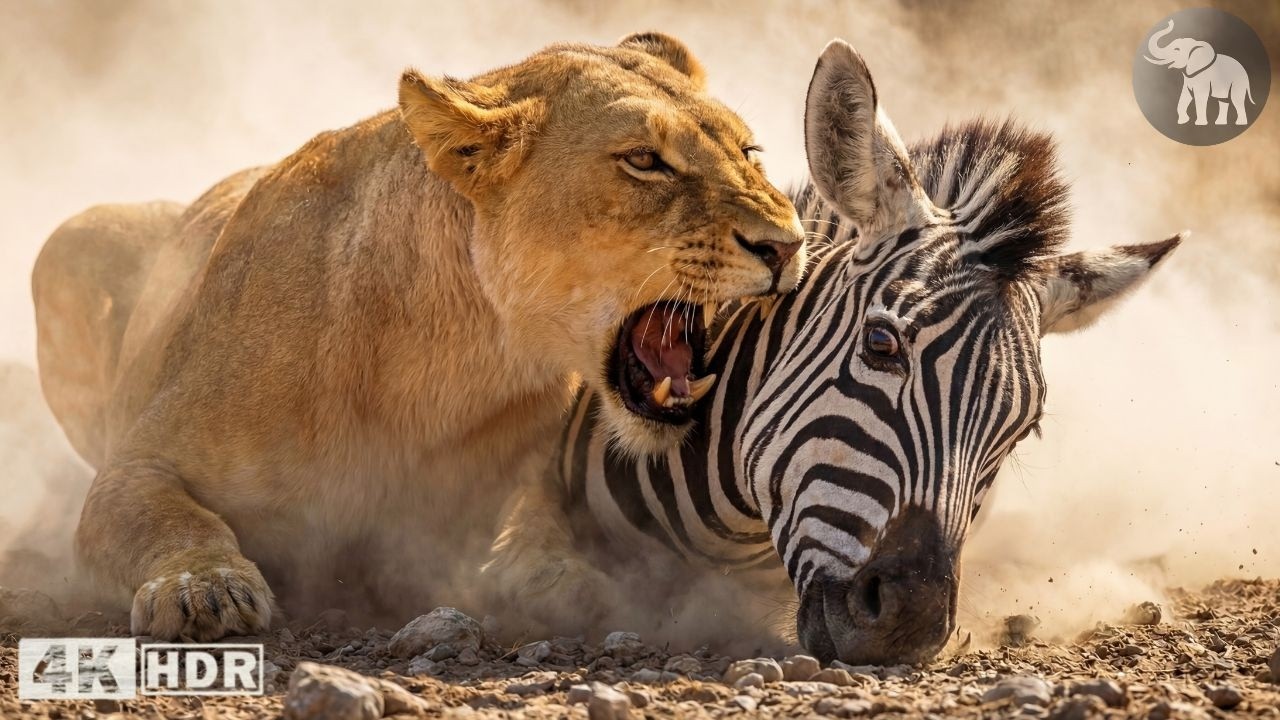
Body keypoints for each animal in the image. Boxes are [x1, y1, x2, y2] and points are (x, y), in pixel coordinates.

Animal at [31, 33, 806, 641]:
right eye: (644, 160)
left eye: (750, 152)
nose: (786, 243)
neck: (453, 358)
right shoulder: (138, 462)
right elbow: (162, 518)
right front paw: (203, 587)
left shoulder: (529, 472)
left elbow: (535, 524)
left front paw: (563, 577)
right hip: (67, 240)